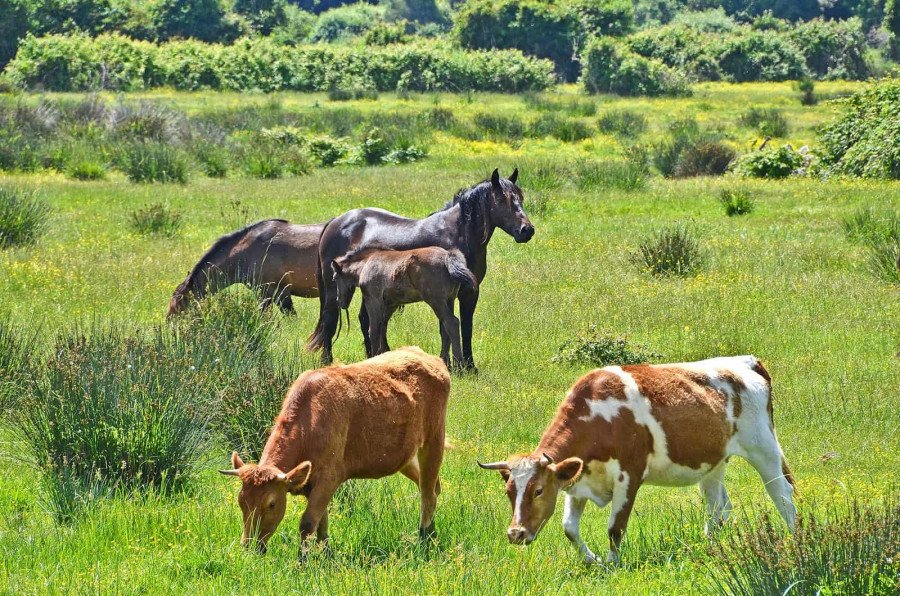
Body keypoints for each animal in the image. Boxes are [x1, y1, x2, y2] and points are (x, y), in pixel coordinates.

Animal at [219, 346, 450, 556]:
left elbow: (308, 522)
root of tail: (426, 357)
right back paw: (432, 533)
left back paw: (425, 538)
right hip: (405, 457)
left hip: (434, 440)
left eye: (272, 504)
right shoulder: (312, 484)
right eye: (241, 501)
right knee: (431, 486)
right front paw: (326, 554)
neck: (310, 421)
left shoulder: (329, 477)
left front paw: (303, 561)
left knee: (428, 493)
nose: (249, 546)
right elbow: (322, 522)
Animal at [332, 247, 478, 368]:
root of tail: (447, 256)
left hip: (436, 301)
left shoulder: (373, 300)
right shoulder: (391, 304)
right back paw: (444, 362)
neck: (366, 264)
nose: (339, 301)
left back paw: (459, 366)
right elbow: (382, 328)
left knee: (452, 323)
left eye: (334, 278)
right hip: (449, 300)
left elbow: (373, 331)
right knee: (445, 329)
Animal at [478, 356, 796, 564]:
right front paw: (593, 560)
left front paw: (613, 565)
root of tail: (747, 361)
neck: (600, 417)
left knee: (783, 495)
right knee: (718, 507)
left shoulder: (629, 475)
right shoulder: (577, 480)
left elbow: (615, 527)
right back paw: (710, 547)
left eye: (538, 491)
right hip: (714, 462)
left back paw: (795, 542)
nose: (515, 533)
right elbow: (569, 527)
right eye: (509, 492)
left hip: (763, 447)